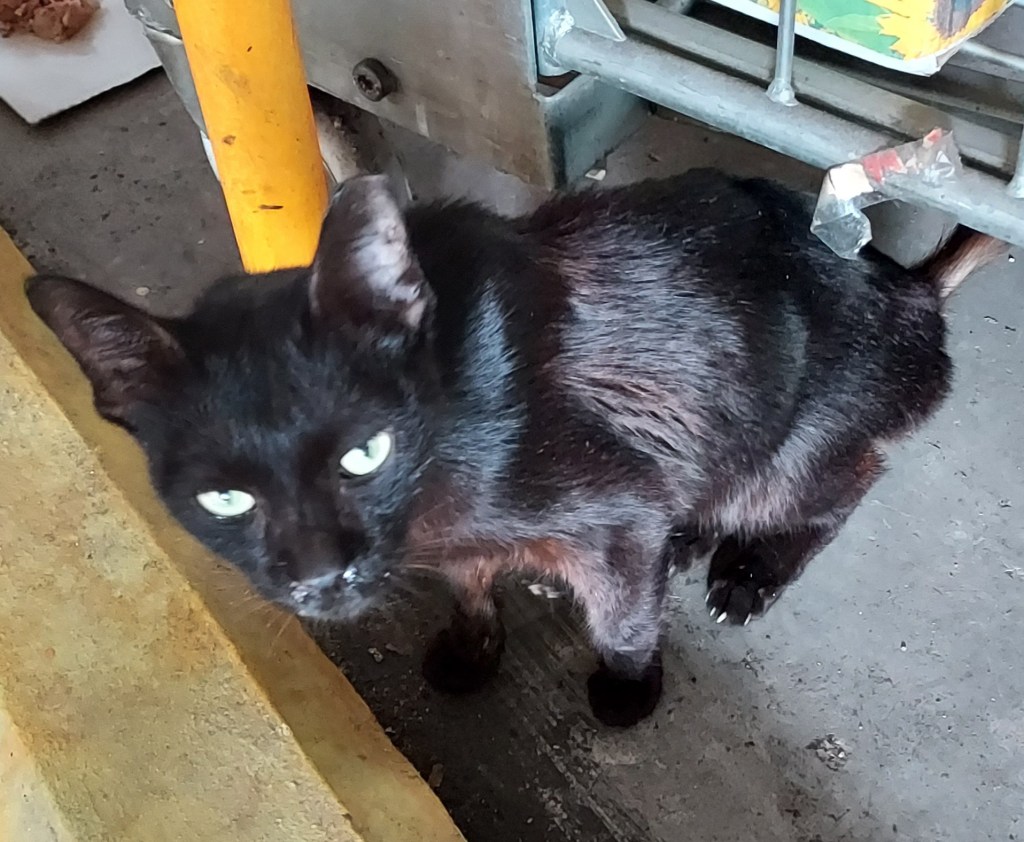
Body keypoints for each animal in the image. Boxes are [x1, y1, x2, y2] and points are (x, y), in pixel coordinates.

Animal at [26, 170, 1002, 727]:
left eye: (364, 454)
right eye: (224, 499)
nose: (317, 576)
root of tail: (907, 289)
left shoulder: (614, 505)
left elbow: (621, 619)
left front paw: (628, 689)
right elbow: (467, 585)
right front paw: (472, 648)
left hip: (792, 450)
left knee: (847, 481)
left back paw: (744, 569)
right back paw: (686, 539)